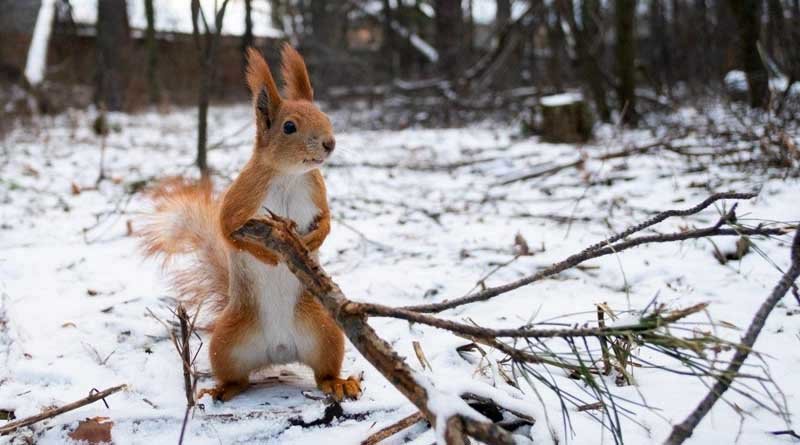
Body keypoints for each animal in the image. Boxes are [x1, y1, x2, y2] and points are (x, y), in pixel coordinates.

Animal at [140, 45, 360, 402]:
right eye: (289, 127)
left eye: (325, 116)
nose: (330, 143)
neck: (288, 176)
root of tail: (280, 351)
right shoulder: (239, 201)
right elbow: (228, 232)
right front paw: (268, 256)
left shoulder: (317, 192)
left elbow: (327, 221)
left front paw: (312, 241)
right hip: (226, 342)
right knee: (238, 377)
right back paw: (222, 389)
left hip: (326, 332)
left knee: (323, 371)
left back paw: (338, 382)